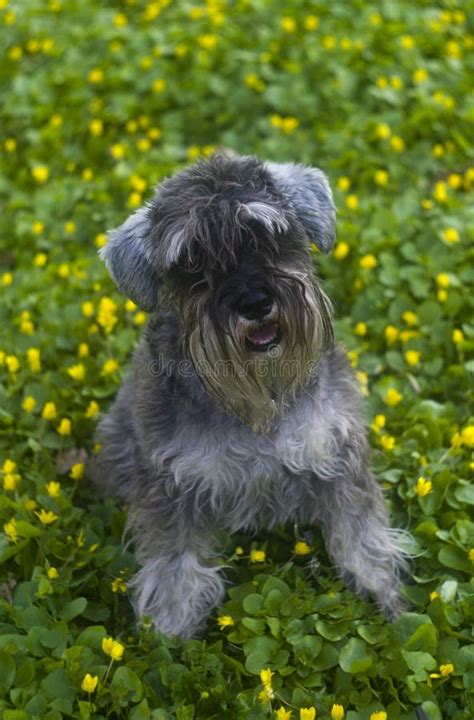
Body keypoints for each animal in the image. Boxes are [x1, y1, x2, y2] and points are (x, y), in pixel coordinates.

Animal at [96, 150, 408, 636]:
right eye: (192, 263)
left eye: (267, 236)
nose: (255, 303)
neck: (260, 395)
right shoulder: (172, 481)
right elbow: (174, 559)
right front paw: (170, 628)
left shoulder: (336, 449)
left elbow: (360, 530)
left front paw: (383, 593)